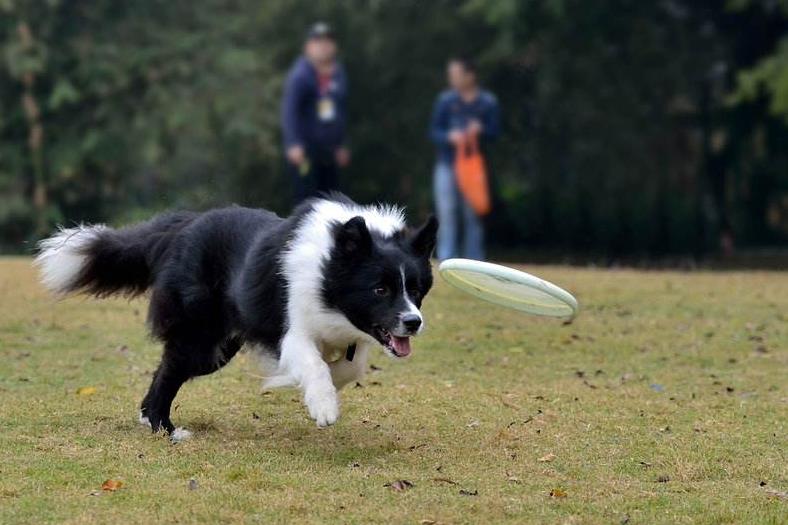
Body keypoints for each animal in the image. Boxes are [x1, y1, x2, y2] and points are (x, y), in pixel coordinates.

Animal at [35, 192, 438, 438]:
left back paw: (150, 418)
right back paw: (167, 430)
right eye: (380, 290)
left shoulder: (357, 334)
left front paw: (296, 385)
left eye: (416, 289)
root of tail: (183, 226)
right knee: (169, 371)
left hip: (218, 346)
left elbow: (350, 367)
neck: (329, 267)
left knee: (165, 369)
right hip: (200, 337)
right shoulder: (292, 330)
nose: (413, 322)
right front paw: (322, 405)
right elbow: (314, 364)